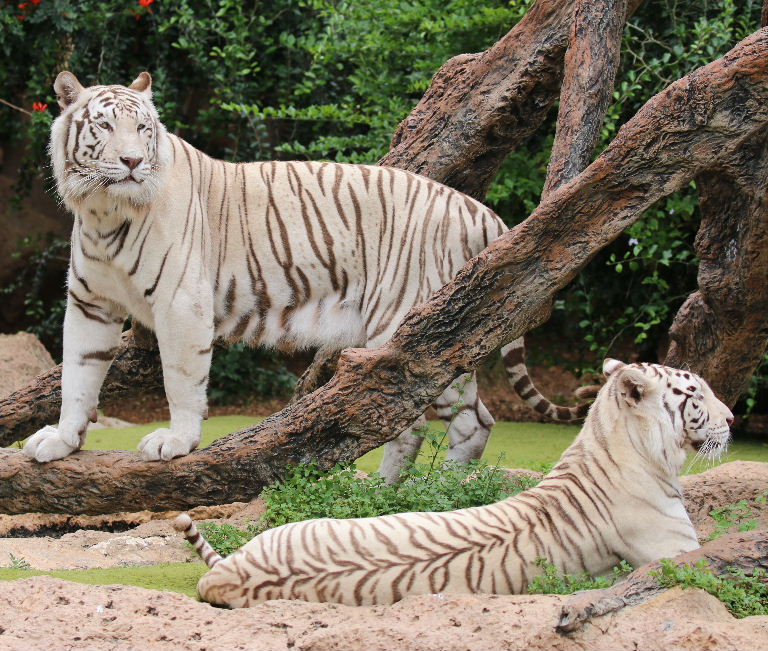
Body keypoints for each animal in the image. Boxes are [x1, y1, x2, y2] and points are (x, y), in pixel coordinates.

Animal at [23, 71, 584, 481]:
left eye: (142, 129)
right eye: (103, 127)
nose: (133, 161)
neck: (104, 213)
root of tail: (479, 209)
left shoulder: (181, 305)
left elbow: (180, 379)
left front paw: (175, 443)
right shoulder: (90, 304)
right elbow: (77, 376)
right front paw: (62, 440)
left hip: (412, 332)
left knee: (428, 422)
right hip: (450, 338)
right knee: (466, 422)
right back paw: (418, 496)